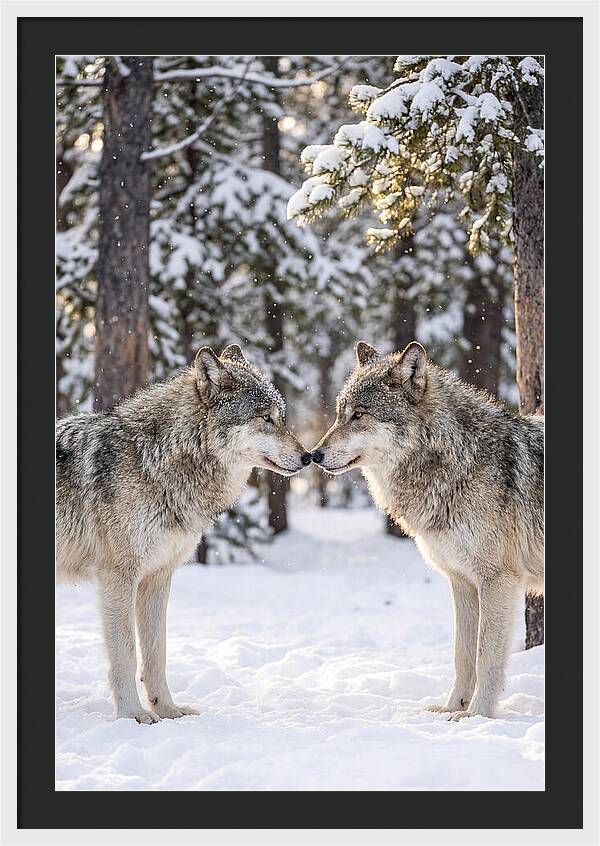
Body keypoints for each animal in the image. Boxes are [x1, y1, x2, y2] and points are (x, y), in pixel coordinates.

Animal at [56, 344, 311, 723]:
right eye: (265, 418)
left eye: (281, 418)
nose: (309, 456)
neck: (154, 463)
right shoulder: (118, 577)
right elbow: (126, 652)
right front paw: (133, 715)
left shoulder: (158, 576)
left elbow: (156, 652)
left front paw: (168, 709)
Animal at [312, 340, 544, 719]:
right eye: (338, 415)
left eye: (359, 415)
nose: (313, 455)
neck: (457, 461)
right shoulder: (462, 582)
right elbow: (462, 655)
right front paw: (451, 708)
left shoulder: (498, 581)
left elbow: (486, 657)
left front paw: (477, 715)